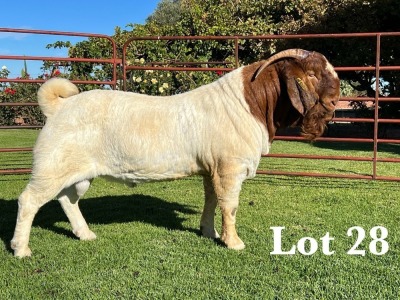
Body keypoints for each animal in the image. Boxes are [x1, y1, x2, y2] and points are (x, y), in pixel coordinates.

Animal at [10, 48, 340, 256]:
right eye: (312, 73)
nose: (336, 99)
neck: (251, 104)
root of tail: (58, 107)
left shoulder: (212, 168)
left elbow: (212, 201)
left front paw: (209, 232)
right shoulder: (230, 166)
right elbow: (230, 206)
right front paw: (233, 242)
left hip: (76, 171)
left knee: (67, 199)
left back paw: (85, 234)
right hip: (51, 166)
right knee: (29, 201)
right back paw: (21, 249)